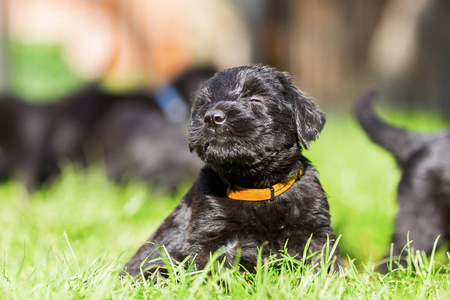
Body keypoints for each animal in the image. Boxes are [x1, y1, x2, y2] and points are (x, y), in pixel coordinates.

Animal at [123, 64, 342, 278]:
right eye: (204, 103)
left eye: (254, 99)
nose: (212, 118)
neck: (257, 189)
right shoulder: (210, 235)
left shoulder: (316, 231)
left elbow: (324, 264)